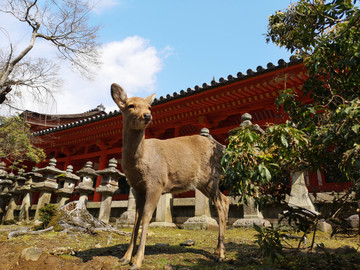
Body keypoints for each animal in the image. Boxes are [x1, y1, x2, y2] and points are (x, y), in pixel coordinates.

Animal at [110, 83, 228, 268]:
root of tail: (223, 149)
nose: (147, 115)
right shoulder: (137, 188)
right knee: (226, 200)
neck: (139, 164)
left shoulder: (156, 183)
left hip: (210, 177)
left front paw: (137, 260)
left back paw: (221, 255)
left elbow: (146, 217)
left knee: (221, 204)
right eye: (130, 105)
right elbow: (135, 220)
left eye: (149, 106)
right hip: (204, 182)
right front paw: (125, 257)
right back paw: (218, 251)